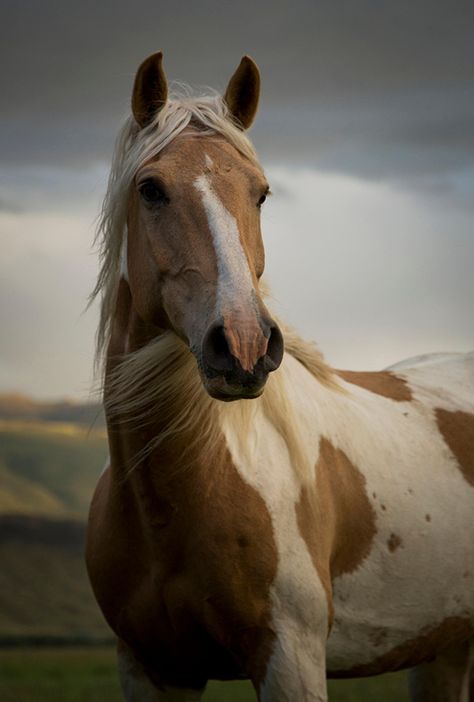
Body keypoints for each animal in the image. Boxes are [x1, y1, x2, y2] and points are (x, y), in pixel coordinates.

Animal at [86, 52, 474, 700]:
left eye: (262, 193)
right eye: (151, 189)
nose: (243, 346)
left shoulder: (290, 657)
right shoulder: (150, 667)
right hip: (442, 650)